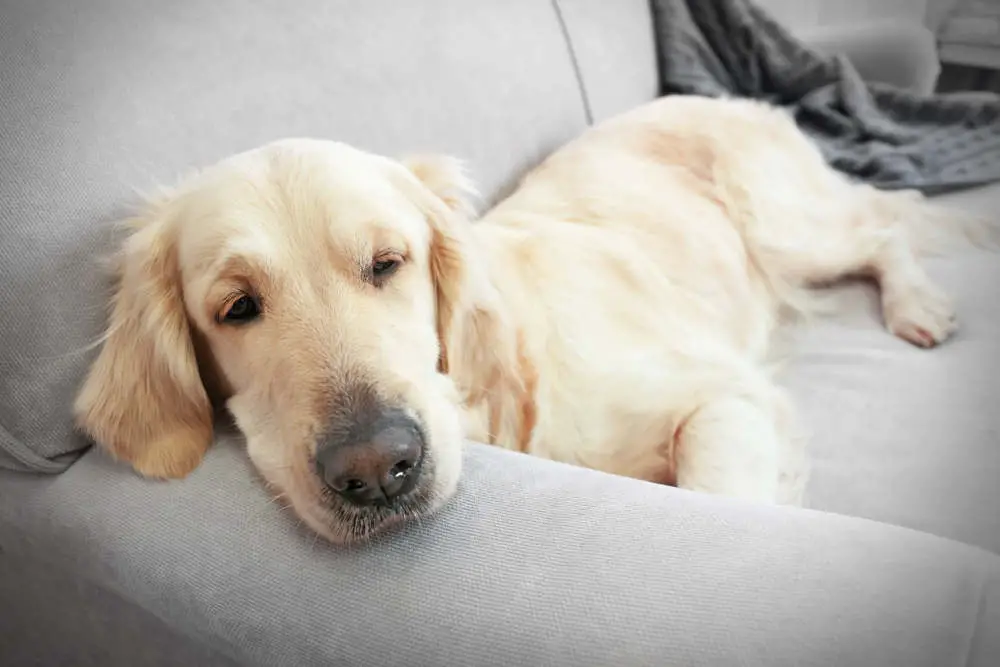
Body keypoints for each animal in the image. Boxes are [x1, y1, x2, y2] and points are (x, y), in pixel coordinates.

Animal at [72, 95, 984, 544]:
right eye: (237, 308)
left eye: (387, 262)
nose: (378, 469)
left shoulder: (724, 396)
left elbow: (716, 487)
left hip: (787, 226)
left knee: (888, 222)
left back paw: (917, 303)